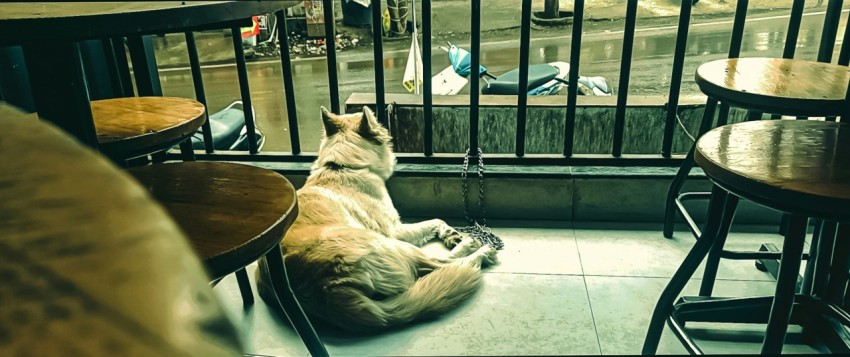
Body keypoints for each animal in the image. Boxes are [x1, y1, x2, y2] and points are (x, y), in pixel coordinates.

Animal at [255, 105, 494, 330]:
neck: (341, 167)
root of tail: (326, 289)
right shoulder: (395, 230)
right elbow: (436, 220)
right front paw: (454, 235)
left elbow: (437, 222)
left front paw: (450, 235)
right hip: (391, 245)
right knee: (443, 264)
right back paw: (478, 249)